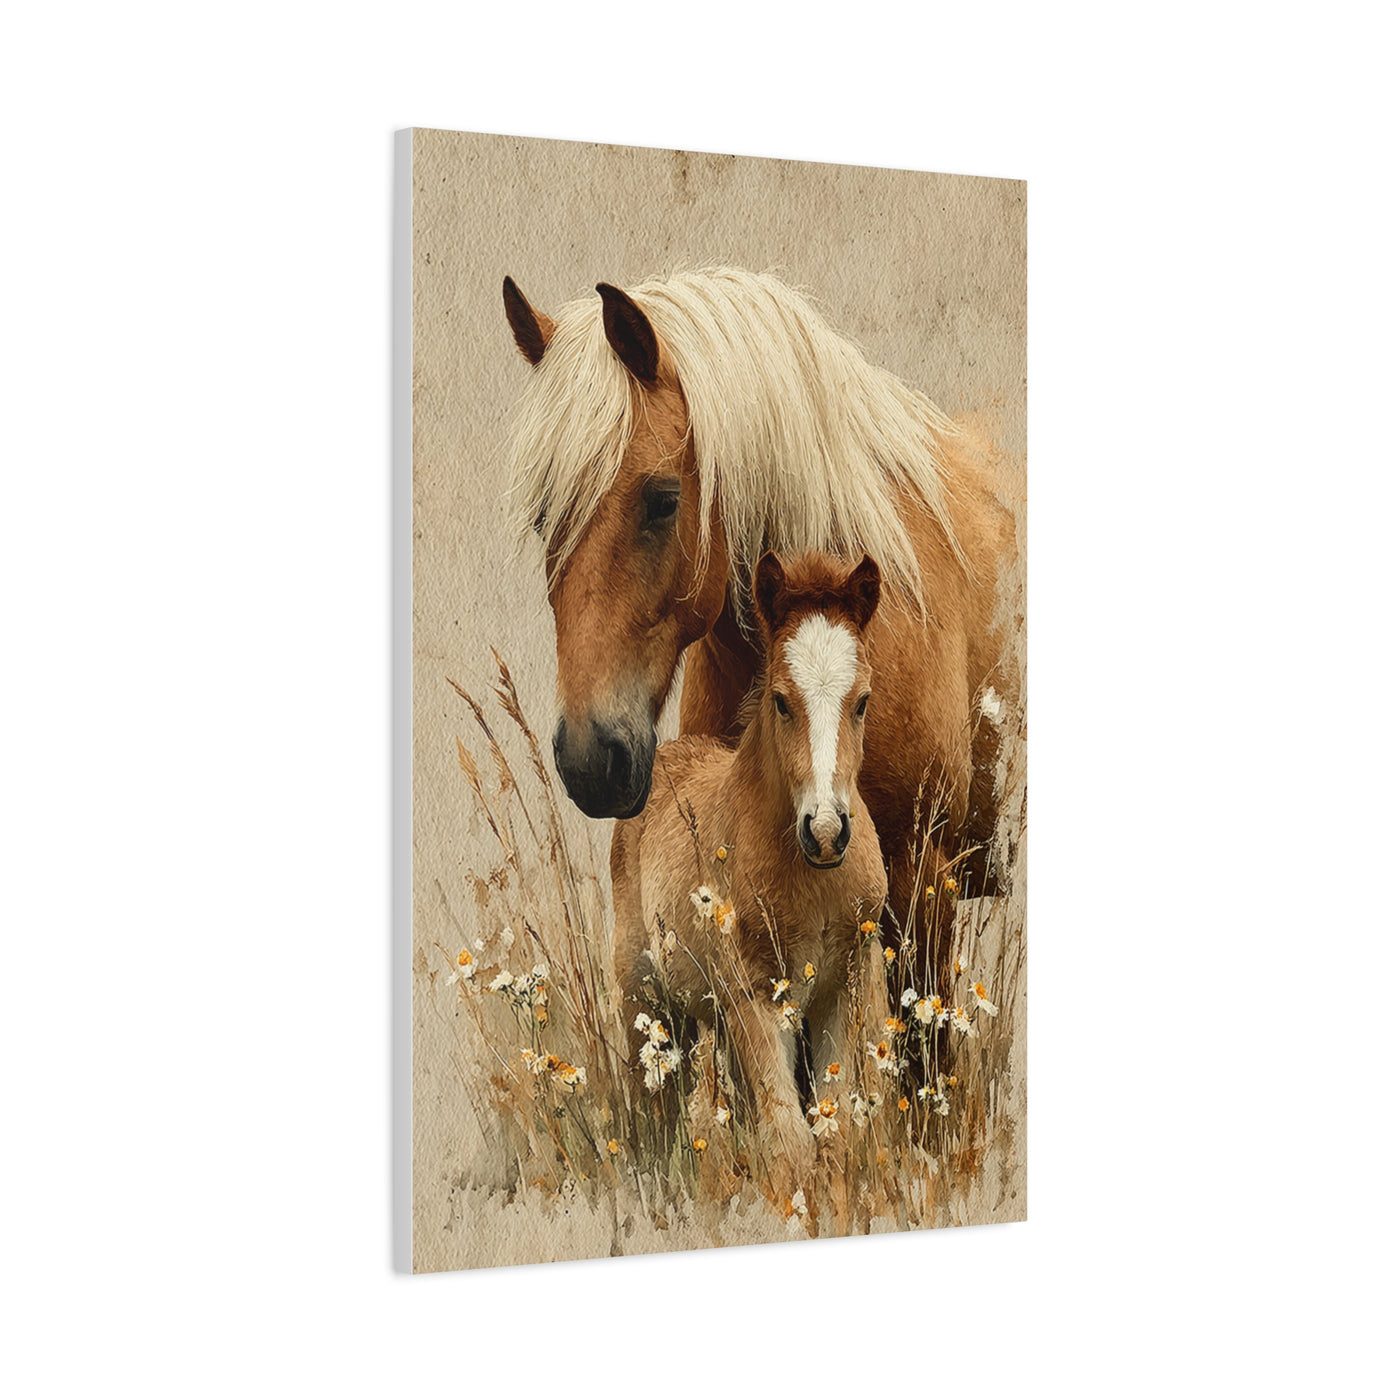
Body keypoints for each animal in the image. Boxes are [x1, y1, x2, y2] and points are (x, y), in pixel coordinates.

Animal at [610, 551, 887, 1181]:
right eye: (781, 700)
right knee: (655, 1106)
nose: (827, 832)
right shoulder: (753, 996)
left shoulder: (846, 985)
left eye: (862, 701)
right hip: (643, 995)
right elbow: (790, 1142)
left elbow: (839, 1132)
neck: (813, 883)